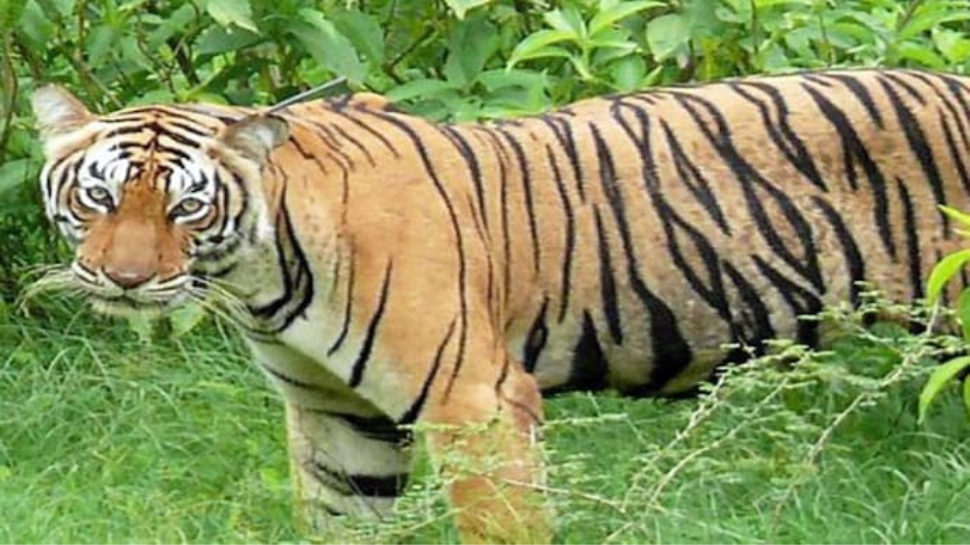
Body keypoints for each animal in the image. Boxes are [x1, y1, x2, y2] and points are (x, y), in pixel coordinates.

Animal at [29, 67, 970, 543]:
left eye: (186, 207)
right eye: (99, 197)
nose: (123, 279)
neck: (265, 276)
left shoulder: (473, 400)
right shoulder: (335, 416)